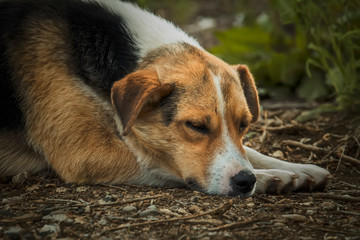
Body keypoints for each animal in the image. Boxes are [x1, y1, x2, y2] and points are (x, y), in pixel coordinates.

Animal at [0, 0, 330, 197]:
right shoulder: (85, 153)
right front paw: (273, 177)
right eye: (196, 126)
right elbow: (161, 160)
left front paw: (298, 168)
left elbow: (248, 151)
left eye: (244, 125)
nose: (245, 181)